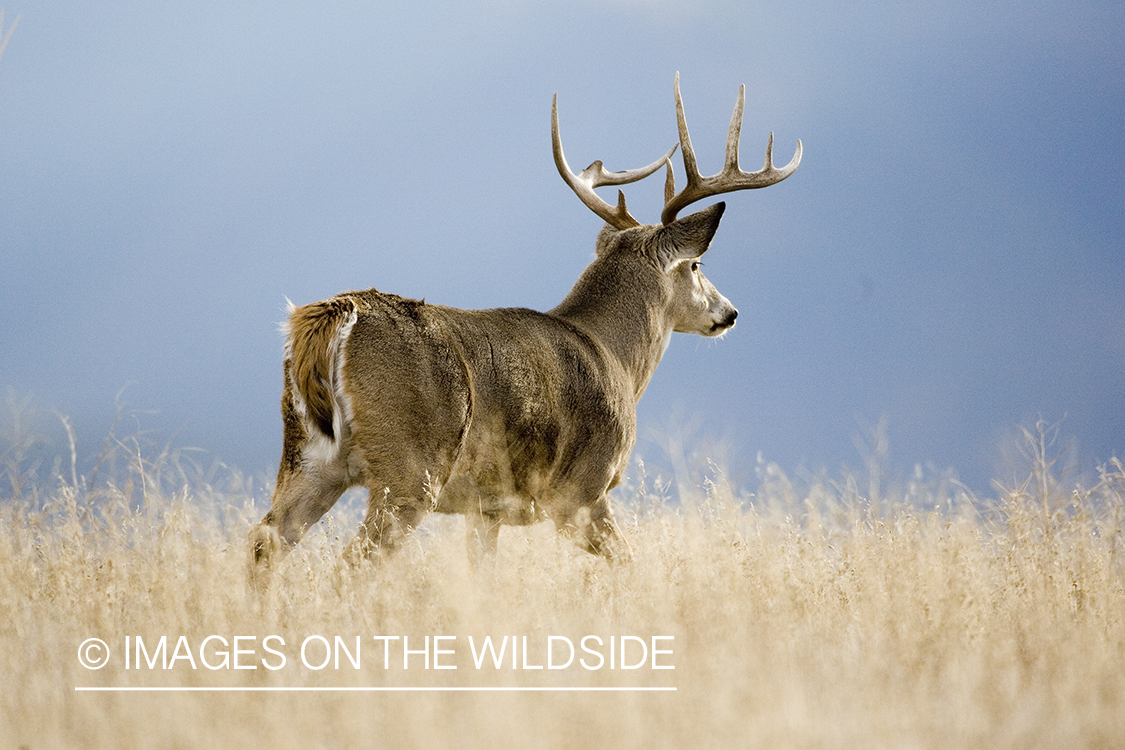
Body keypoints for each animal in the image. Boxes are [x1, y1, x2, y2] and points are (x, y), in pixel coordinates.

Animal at [248, 73, 801, 584]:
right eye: (696, 265)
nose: (729, 312)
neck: (616, 357)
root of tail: (336, 314)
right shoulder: (581, 492)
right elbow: (630, 565)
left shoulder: (486, 509)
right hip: (410, 467)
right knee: (350, 563)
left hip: (308, 456)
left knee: (263, 541)